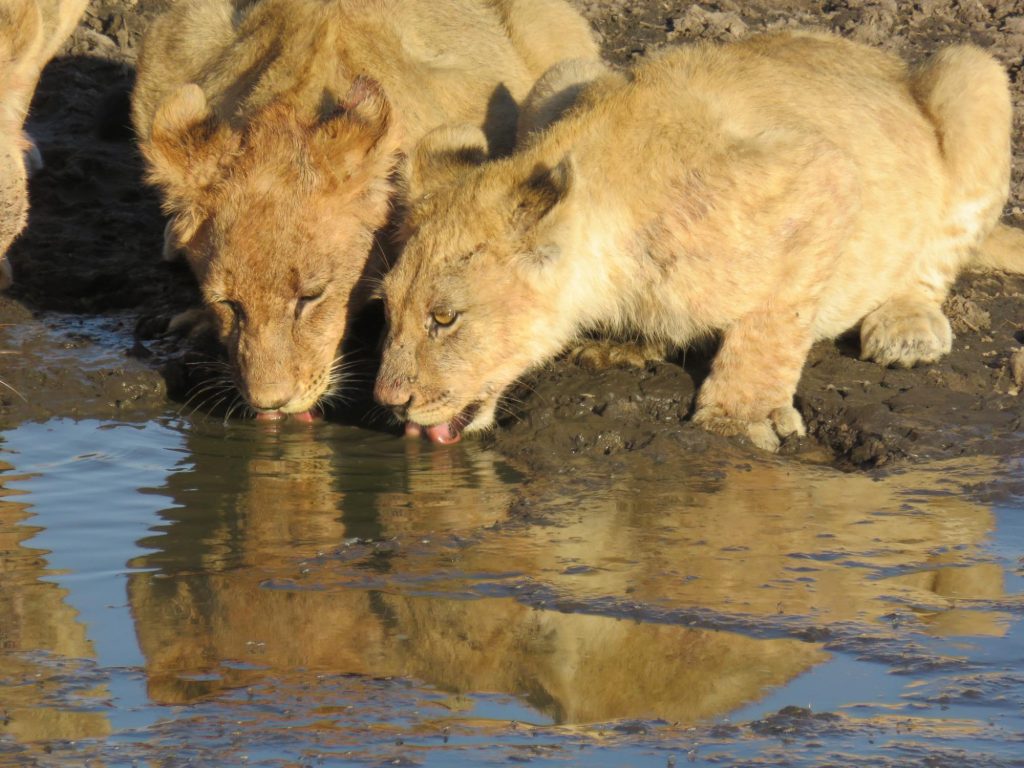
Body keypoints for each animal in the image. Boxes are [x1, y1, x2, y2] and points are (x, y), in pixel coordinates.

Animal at [374, 31, 1024, 450]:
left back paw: (907, 327)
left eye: (445, 318)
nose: (388, 402)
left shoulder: (818, 171)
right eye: (386, 310)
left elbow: (774, 319)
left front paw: (738, 416)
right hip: (565, 70)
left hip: (974, 76)